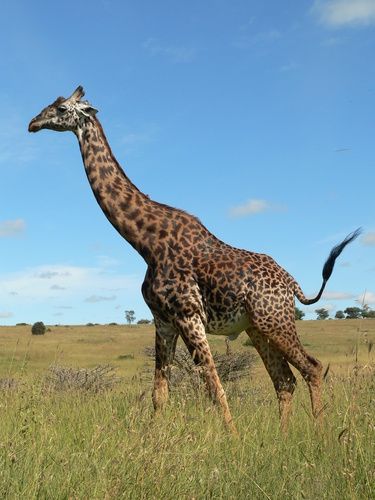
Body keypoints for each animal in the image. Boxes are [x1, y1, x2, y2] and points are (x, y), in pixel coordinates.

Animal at [27, 85, 362, 430]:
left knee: (312, 367)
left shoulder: (189, 316)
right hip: (257, 328)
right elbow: (160, 395)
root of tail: (291, 283)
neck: (146, 243)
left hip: (275, 320)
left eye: (62, 109)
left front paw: (233, 439)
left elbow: (214, 388)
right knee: (284, 381)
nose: (32, 123)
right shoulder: (163, 320)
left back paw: (319, 434)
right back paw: (283, 438)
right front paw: (152, 439)